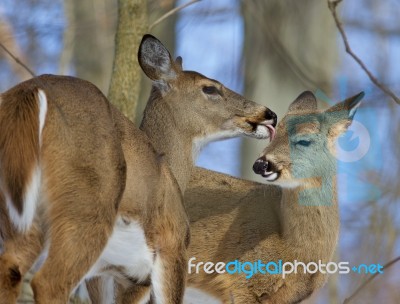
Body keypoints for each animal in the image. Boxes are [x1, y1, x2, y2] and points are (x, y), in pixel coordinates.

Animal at [0, 33, 276, 304]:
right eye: (210, 88)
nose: (269, 113)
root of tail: (32, 93)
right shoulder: (169, 248)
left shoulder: (104, 275)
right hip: (87, 208)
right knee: (49, 282)